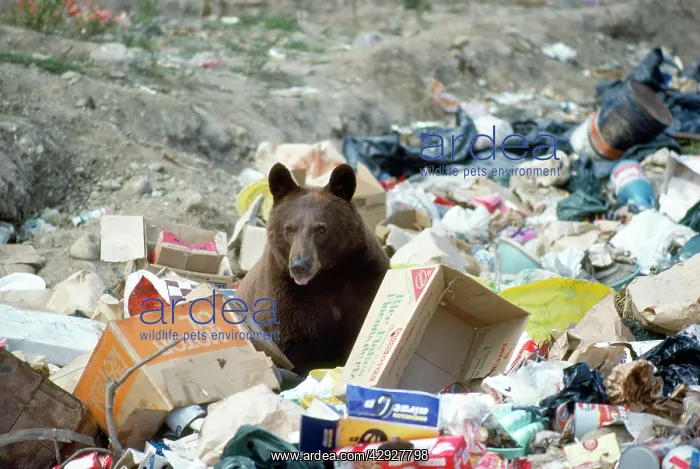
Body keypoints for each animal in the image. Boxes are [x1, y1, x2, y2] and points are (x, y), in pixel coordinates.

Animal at [234, 162, 390, 375]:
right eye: (289, 228)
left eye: (321, 229)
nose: (300, 266)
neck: (327, 278)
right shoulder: (282, 295)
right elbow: (288, 346)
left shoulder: (365, 280)